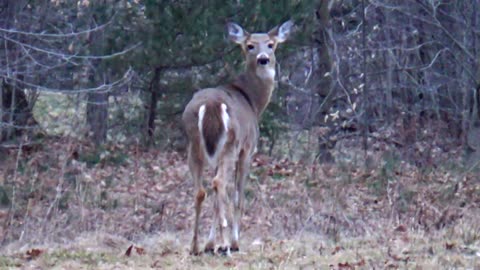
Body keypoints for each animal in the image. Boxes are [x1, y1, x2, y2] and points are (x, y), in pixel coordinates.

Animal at [181, 20, 290, 255]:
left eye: (270, 44)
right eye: (250, 45)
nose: (263, 59)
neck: (252, 101)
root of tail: (211, 106)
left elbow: (216, 199)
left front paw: (209, 243)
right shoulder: (247, 149)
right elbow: (239, 196)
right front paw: (233, 241)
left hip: (194, 145)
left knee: (202, 190)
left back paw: (195, 246)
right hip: (231, 143)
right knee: (220, 183)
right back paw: (225, 245)